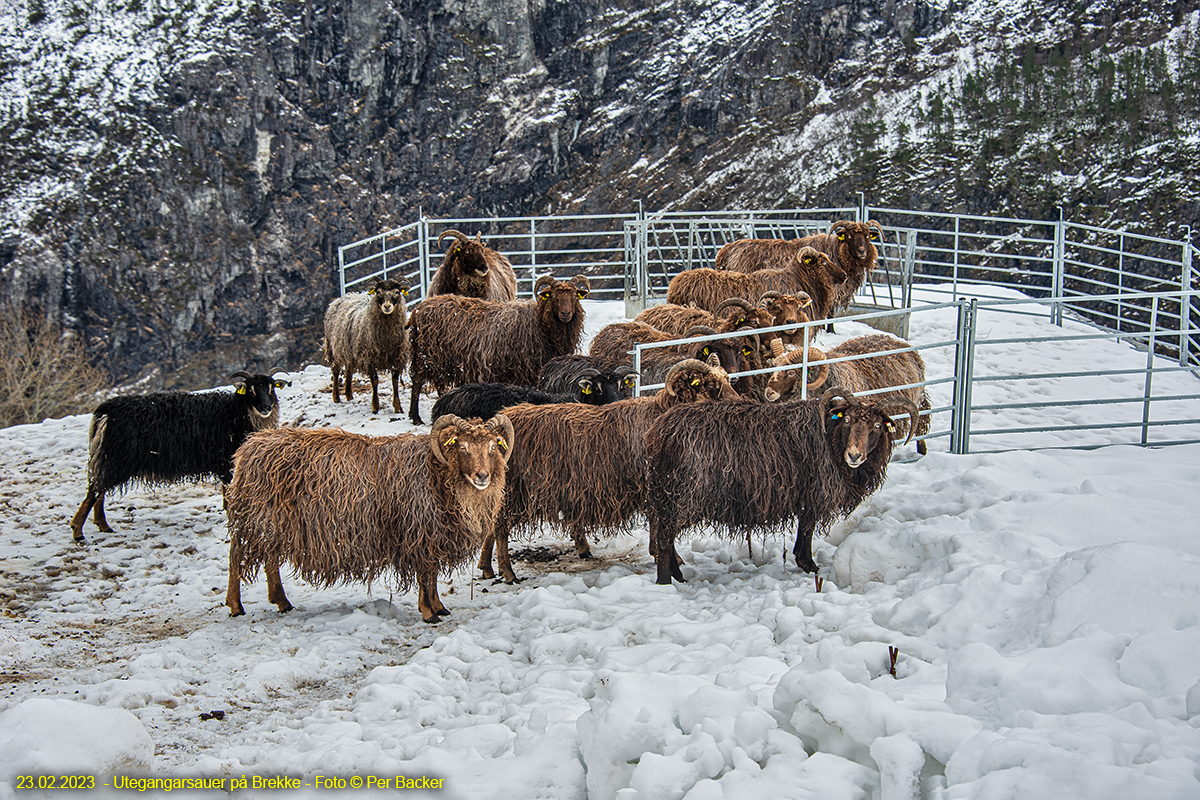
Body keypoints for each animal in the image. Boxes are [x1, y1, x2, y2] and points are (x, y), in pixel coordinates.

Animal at [223, 412, 513, 623]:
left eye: (492, 446)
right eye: (462, 446)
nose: (482, 476)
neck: (437, 474)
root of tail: (249, 447)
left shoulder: (433, 535)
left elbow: (431, 576)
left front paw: (439, 606)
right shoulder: (417, 532)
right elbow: (424, 574)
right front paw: (428, 613)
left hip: (270, 524)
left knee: (270, 560)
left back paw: (282, 602)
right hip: (256, 519)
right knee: (236, 558)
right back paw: (236, 606)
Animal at [324, 275, 412, 412]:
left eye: (397, 292)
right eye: (378, 292)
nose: (387, 306)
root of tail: (341, 298)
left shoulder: (396, 358)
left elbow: (395, 382)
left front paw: (398, 408)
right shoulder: (369, 358)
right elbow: (374, 381)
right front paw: (375, 407)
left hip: (349, 351)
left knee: (348, 371)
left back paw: (349, 396)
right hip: (332, 348)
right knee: (335, 371)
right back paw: (336, 397)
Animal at [408, 275, 590, 424]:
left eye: (574, 296)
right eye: (553, 296)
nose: (566, 313)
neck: (539, 323)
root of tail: (418, 309)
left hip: (441, 361)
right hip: (424, 356)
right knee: (416, 383)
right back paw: (415, 417)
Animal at [477, 359, 739, 585]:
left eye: (728, 379)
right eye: (711, 385)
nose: (738, 404)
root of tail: (498, 428)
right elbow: (661, 528)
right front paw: (669, 559)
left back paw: (488, 568)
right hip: (514, 491)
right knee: (499, 529)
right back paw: (507, 573)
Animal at [763, 335, 931, 453]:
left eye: (792, 372)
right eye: (773, 366)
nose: (769, 392)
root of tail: (900, 343)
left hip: (916, 399)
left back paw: (922, 448)